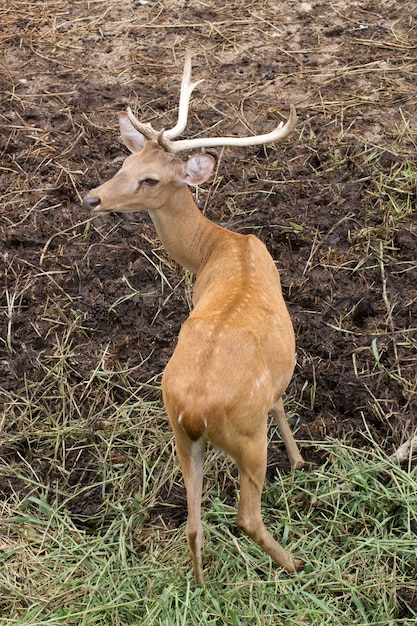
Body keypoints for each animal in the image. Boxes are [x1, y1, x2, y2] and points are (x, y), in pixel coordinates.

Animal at [82, 51, 302, 584]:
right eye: (125, 162)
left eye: (148, 177)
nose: (92, 198)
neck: (219, 248)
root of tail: (197, 409)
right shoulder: (277, 379)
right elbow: (281, 404)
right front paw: (301, 459)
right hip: (246, 437)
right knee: (246, 516)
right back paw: (295, 563)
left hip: (179, 433)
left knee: (193, 523)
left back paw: (201, 585)